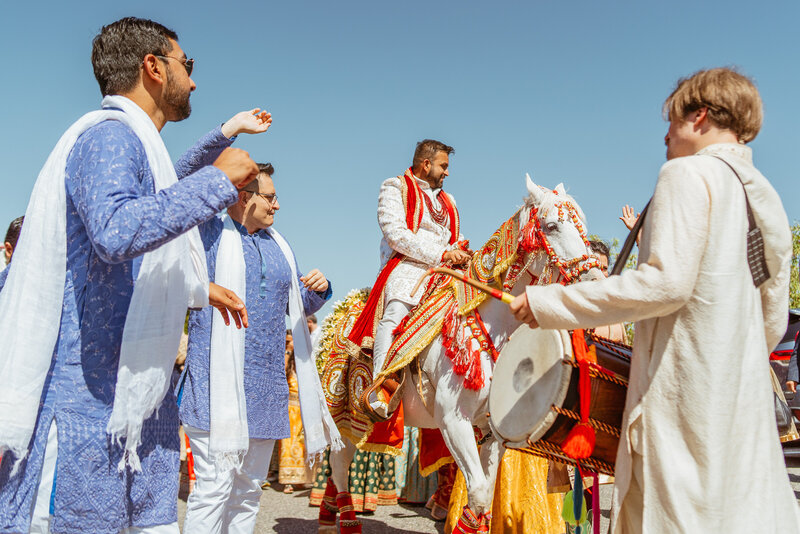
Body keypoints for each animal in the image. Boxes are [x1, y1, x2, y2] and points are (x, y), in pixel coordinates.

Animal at [318, 177, 600, 534]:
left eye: (583, 227)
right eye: (551, 226)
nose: (595, 280)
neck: (492, 325)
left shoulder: (493, 430)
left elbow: (484, 496)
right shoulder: (453, 419)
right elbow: (478, 492)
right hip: (348, 413)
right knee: (339, 460)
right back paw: (345, 518)